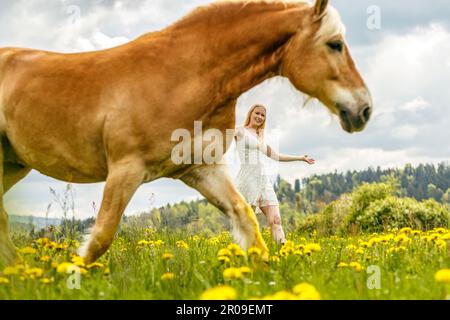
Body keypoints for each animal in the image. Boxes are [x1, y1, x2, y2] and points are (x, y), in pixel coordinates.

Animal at [0, 0, 372, 266]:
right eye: (335, 44)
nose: (364, 109)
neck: (183, 76)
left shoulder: (202, 170)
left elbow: (247, 221)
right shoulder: (125, 170)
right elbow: (101, 236)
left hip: (13, 165)